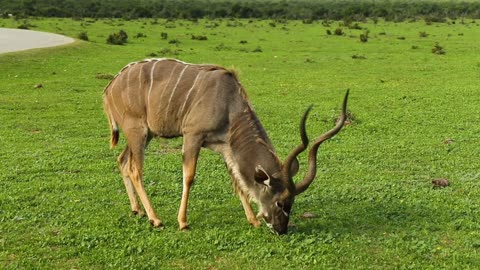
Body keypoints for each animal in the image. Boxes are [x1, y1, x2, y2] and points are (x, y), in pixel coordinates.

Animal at [104, 57, 348, 234]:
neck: (229, 104)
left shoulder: (225, 147)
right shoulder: (193, 135)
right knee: (136, 169)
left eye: (292, 202)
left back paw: (137, 210)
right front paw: (183, 222)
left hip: (145, 135)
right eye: (280, 203)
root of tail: (109, 87)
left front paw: (253, 220)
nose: (281, 230)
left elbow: (238, 181)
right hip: (137, 132)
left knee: (122, 161)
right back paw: (155, 219)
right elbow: (189, 177)